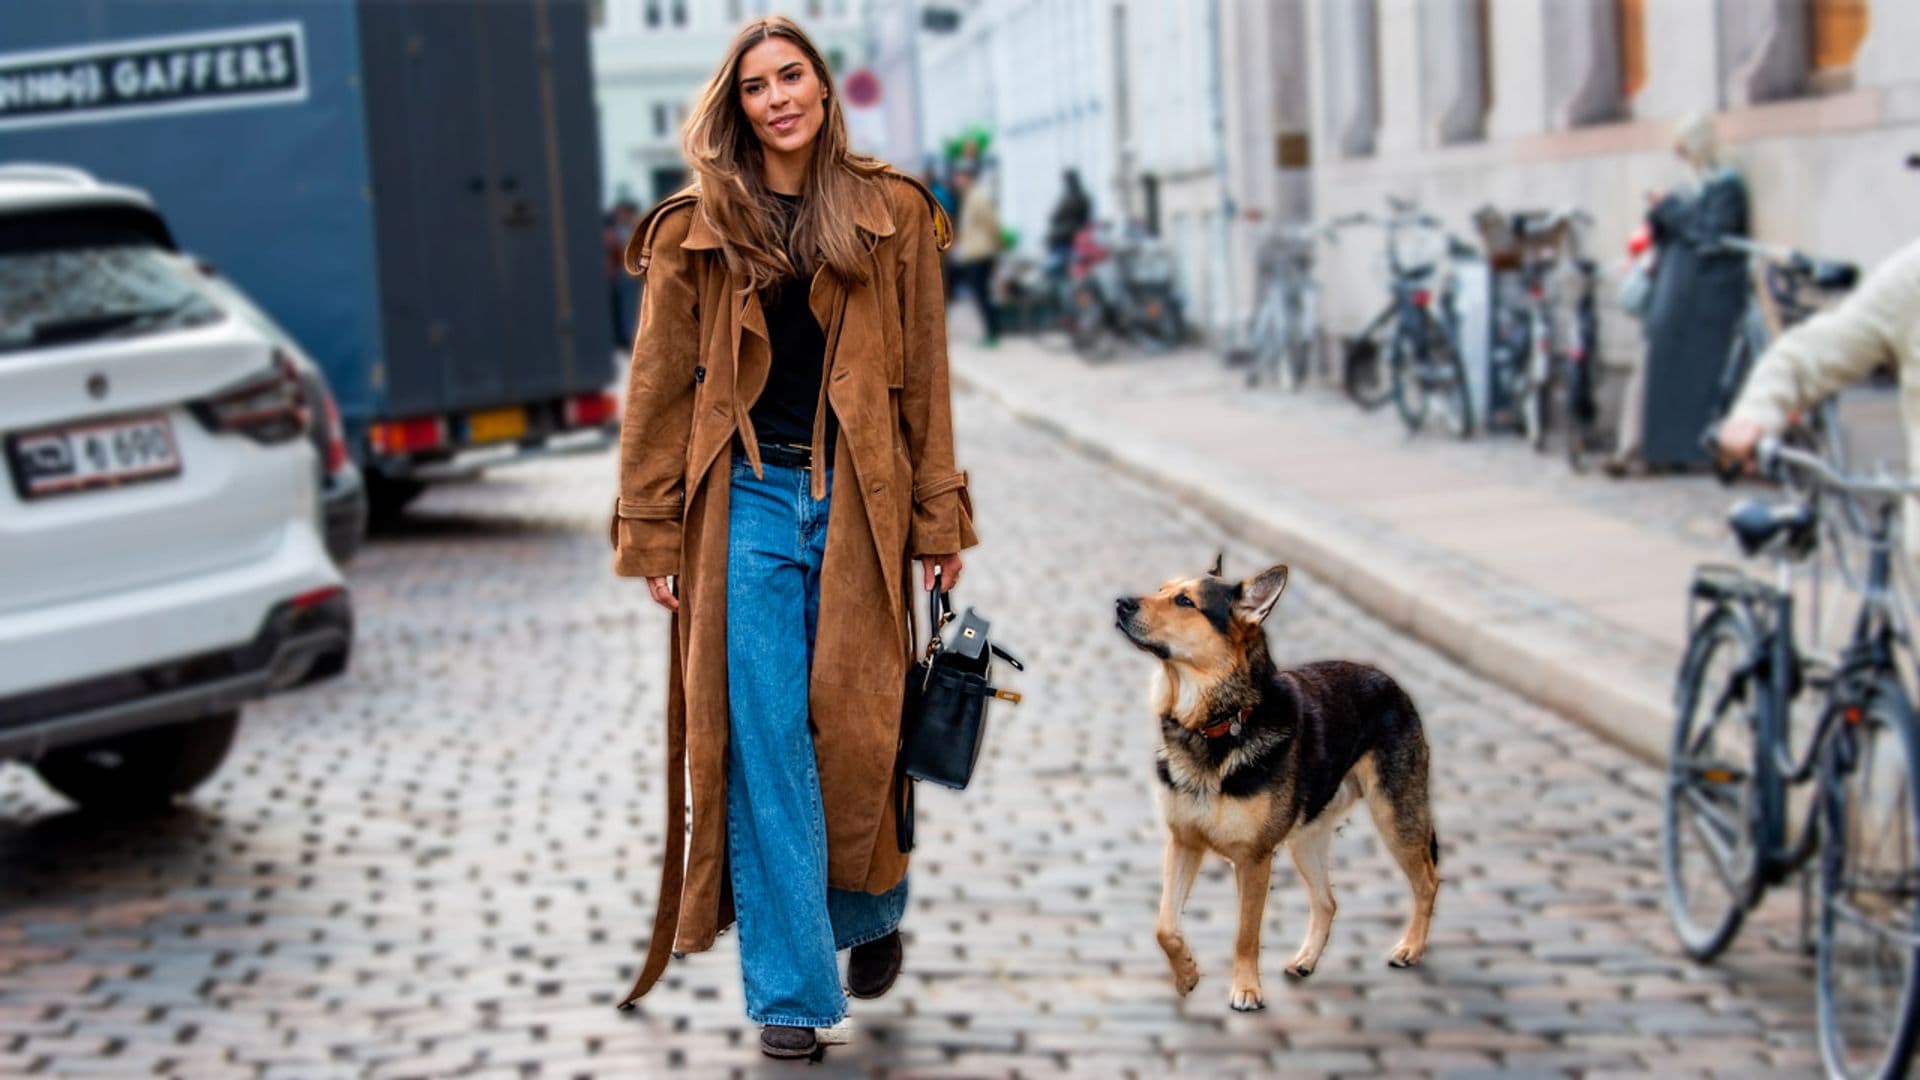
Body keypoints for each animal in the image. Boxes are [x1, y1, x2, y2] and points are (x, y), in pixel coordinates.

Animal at [1113, 557, 1443, 1006]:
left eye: (1185, 602)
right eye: (1160, 588)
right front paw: (1186, 974)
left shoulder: (1254, 860)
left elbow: (1245, 933)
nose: (1120, 602)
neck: (1219, 722)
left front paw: (1246, 989)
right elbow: (1164, 926)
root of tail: (1390, 681)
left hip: (1396, 818)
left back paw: (1410, 947)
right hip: (1306, 839)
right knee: (1327, 901)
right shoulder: (1183, 843)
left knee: (1427, 881)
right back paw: (1306, 960)